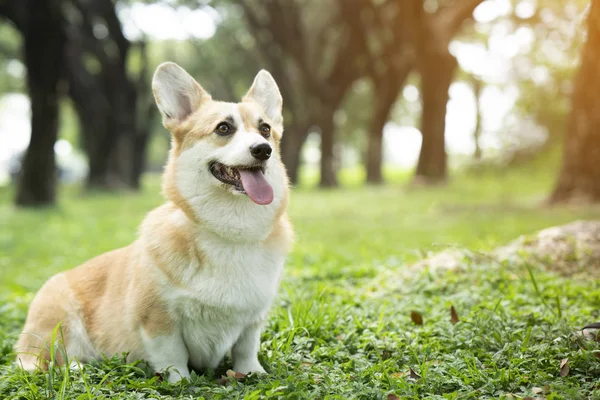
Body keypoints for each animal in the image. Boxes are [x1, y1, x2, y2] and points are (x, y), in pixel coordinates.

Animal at [15, 62, 292, 382]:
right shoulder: (157, 318)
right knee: (48, 361)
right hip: (58, 320)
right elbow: (172, 355)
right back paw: (77, 368)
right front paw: (182, 382)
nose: (263, 149)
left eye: (265, 129)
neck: (228, 234)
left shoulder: (253, 318)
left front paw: (253, 373)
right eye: (224, 128)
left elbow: (246, 348)